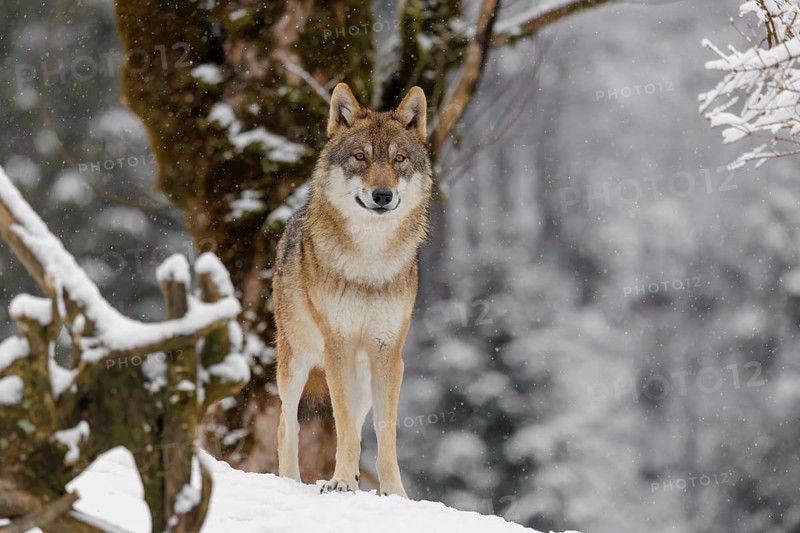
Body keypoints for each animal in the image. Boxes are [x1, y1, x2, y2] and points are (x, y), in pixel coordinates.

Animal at [273, 83, 432, 497]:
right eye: (361, 157)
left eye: (399, 159)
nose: (382, 195)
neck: (369, 262)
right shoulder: (337, 349)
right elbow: (341, 426)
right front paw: (341, 482)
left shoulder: (389, 354)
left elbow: (384, 432)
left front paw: (394, 493)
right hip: (295, 362)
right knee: (285, 423)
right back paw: (291, 481)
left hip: (363, 379)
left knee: (359, 426)